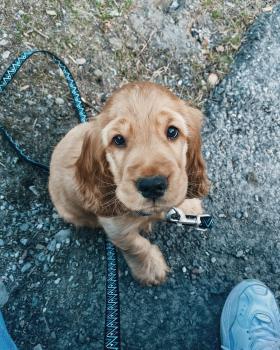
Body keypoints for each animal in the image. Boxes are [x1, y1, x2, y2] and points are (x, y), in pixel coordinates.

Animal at [49, 81, 209, 284]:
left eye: (172, 131)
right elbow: (136, 245)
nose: (152, 185)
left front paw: (189, 205)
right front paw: (151, 269)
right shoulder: (116, 228)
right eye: (118, 139)